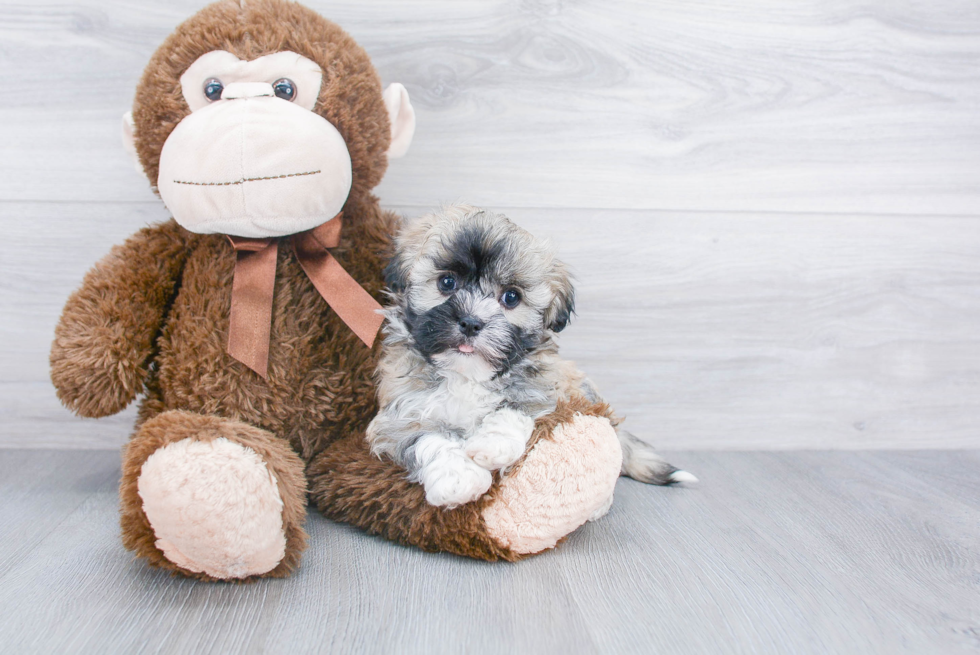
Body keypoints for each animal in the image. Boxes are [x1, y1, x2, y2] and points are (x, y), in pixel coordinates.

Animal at [368, 205, 696, 508]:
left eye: (511, 297)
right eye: (446, 283)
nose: (471, 322)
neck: (466, 375)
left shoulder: (548, 387)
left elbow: (517, 407)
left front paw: (492, 445)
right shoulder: (399, 411)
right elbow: (427, 436)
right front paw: (459, 478)